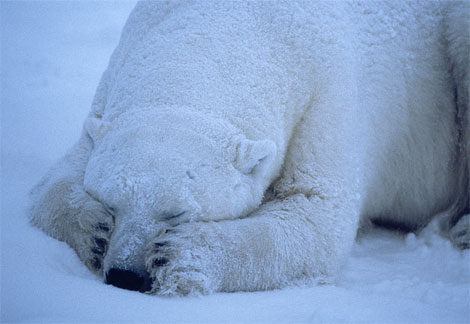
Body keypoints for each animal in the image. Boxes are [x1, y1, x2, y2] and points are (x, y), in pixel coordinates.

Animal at [31, 0, 468, 294]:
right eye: (111, 202)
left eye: (177, 214)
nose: (125, 275)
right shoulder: (114, 80)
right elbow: (56, 178)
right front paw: (93, 230)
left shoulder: (328, 99)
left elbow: (316, 214)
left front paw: (180, 256)